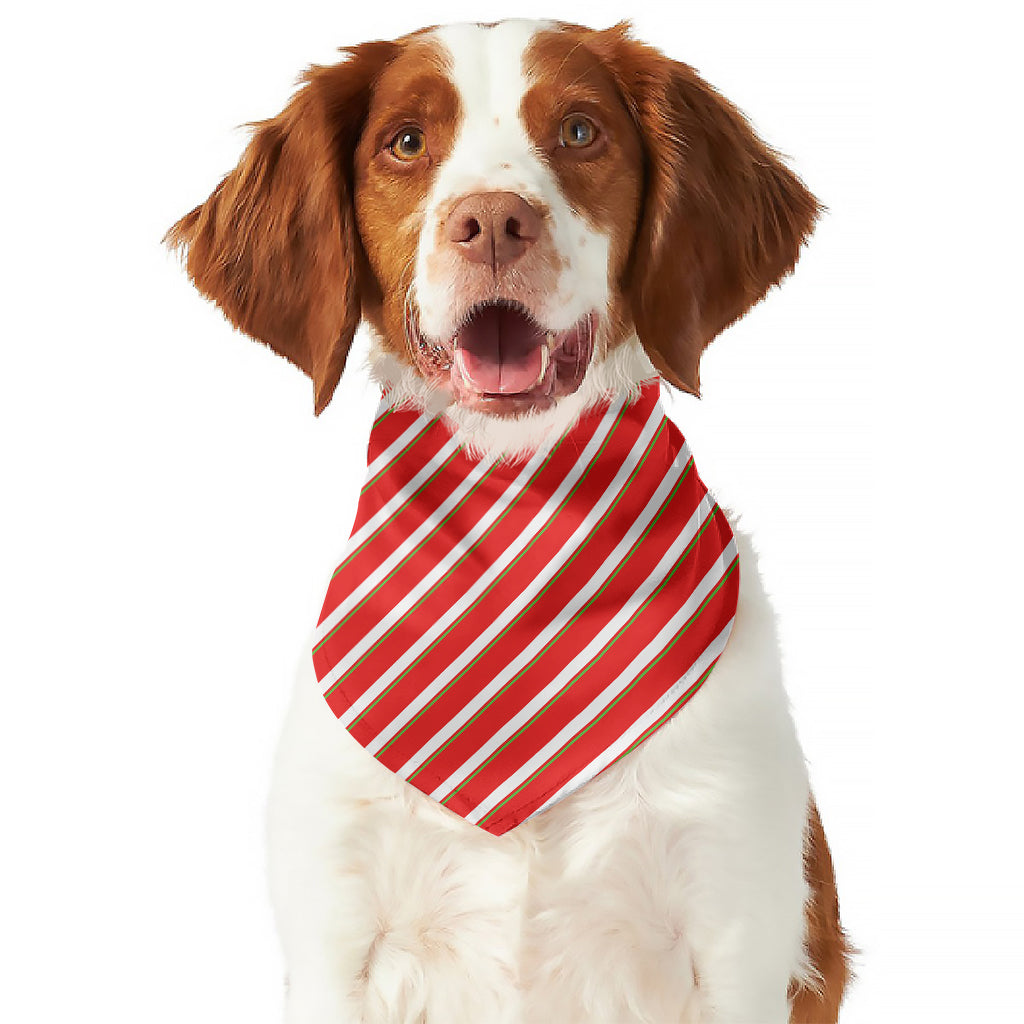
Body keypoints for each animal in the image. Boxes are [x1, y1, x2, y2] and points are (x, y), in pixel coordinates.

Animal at [167, 16, 851, 1024]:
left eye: (579, 131)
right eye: (406, 142)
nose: (492, 221)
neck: (519, 493)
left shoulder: (737, 922)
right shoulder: (336, 929)